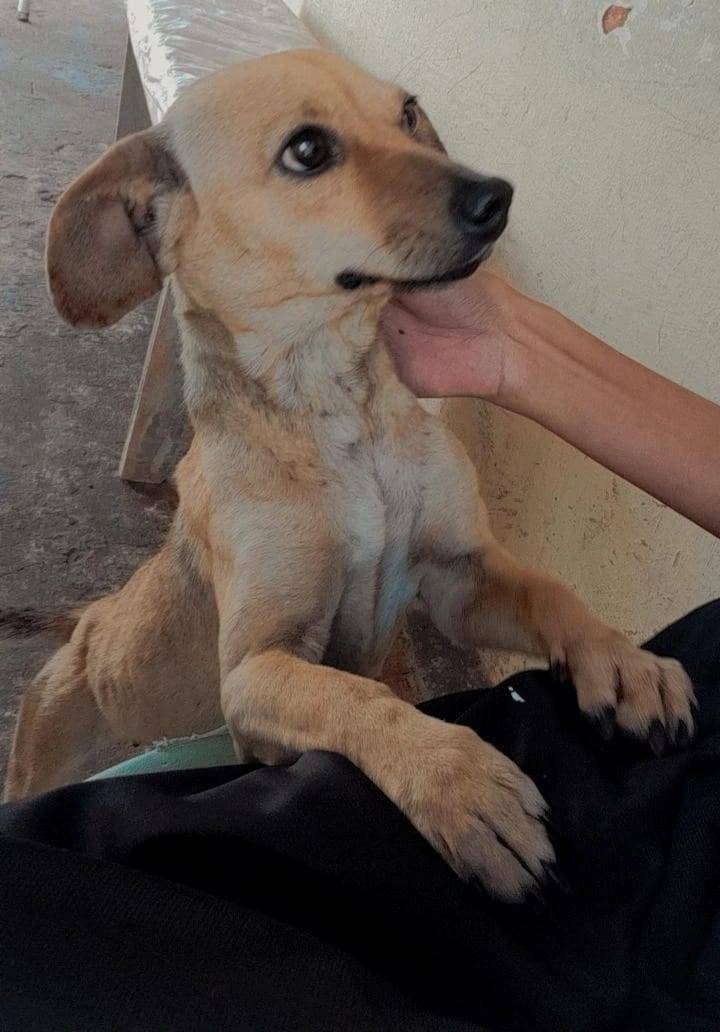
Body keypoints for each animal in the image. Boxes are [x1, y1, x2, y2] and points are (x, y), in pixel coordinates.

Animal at [3, 50, 696, 900]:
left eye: (409, 113)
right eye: (307, 150)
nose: (497, 197)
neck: (339, 410)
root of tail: (86, 624)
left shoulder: (460, 579)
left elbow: (552, 592)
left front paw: (623, 661)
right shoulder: (256, 672)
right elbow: (353, 695)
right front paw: (454, 778)